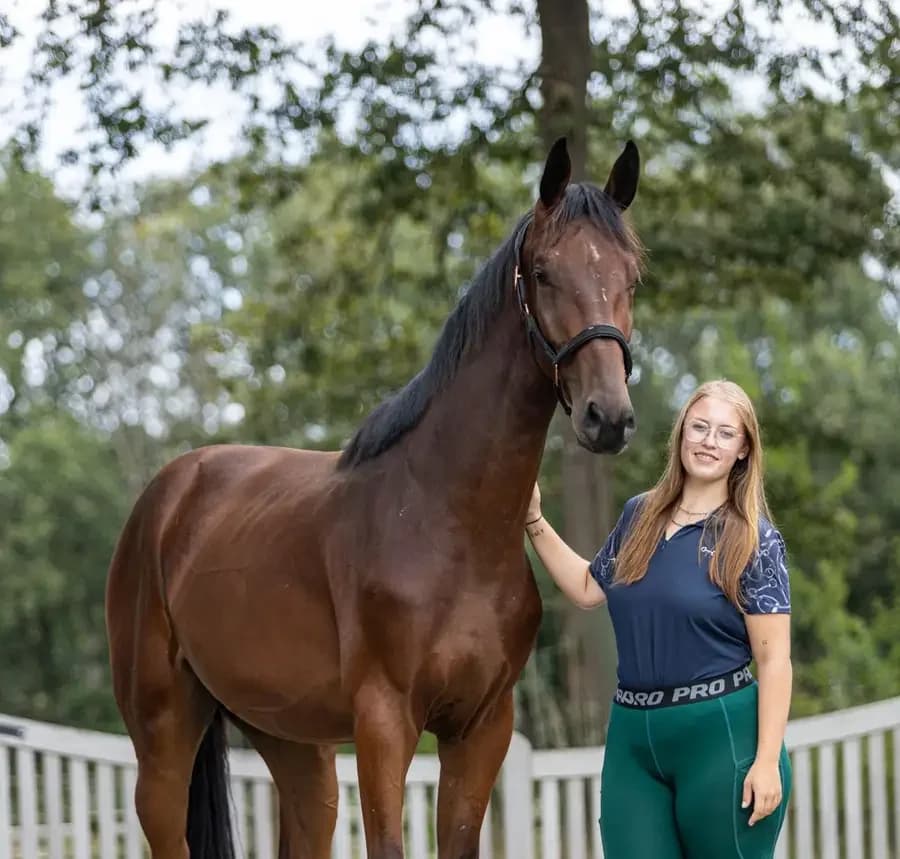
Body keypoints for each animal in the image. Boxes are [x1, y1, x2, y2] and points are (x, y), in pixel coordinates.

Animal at [105, 136, 644, 859]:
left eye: (632, 275)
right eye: (545, 272)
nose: (606, 417)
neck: (449, 521)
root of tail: (167, 495)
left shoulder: (481, 726)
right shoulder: (385, 722)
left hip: (294, 744)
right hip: (162, 734)